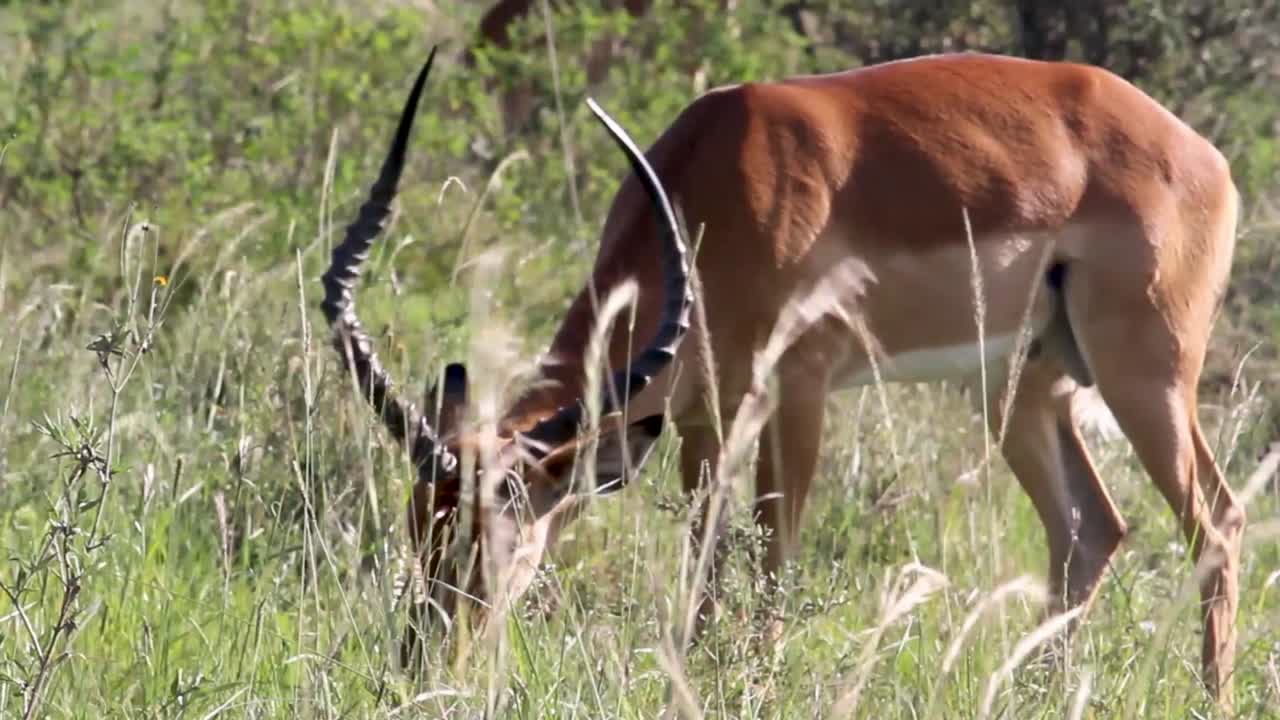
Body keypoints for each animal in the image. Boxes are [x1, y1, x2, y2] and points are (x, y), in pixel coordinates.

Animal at [322, 48, 1244, 709]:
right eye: (419, 522)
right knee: (1089, 527)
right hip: (1020, 385)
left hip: (1146, 374)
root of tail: (1201, 153)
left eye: (503, 531)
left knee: (1218, 521)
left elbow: (774, 553)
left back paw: (1211, 697)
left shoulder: (798, 389)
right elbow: (704, 557)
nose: (420, 665)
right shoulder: (700, 414)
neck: (719, 182)